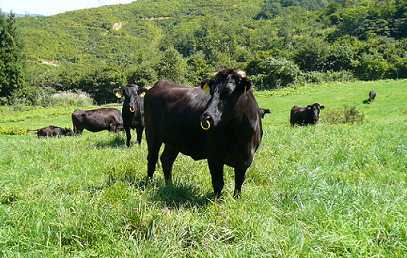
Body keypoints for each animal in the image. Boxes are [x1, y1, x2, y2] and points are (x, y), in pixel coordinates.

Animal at [144, 68, 264, 198]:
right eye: (211, 91)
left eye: (228, 91)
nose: (205, 117)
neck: (241, 137)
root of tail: (159, 84)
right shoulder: (214, 156)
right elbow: (218, 183)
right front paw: (216, 201)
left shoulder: (245, 160)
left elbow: (239, 182)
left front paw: (236, 199)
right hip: (152, 135)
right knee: (152, 158)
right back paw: (149, 184)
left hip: (173, 141)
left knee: (166, 160)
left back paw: (170, 186)